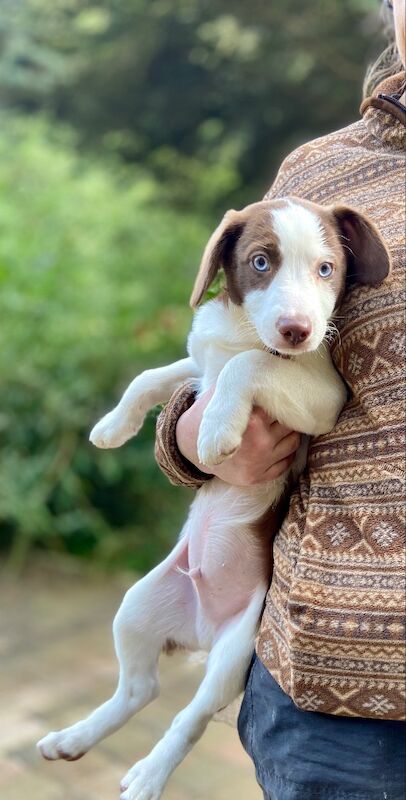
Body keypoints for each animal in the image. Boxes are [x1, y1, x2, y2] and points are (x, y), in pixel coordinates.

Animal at [38, 198, 390, 800]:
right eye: (260, 262)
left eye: (326, 269)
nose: (297, 330)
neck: (245, 330)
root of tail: (198, 631)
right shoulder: (200, 363)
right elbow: (155, 374)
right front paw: (111, 427)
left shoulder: (322, 396)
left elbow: (250, 366)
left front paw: (217, 430)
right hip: (136, 607)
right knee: (139, 689)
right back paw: (74, 738)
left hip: (235, 652)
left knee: (189, 716)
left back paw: (148, 775)